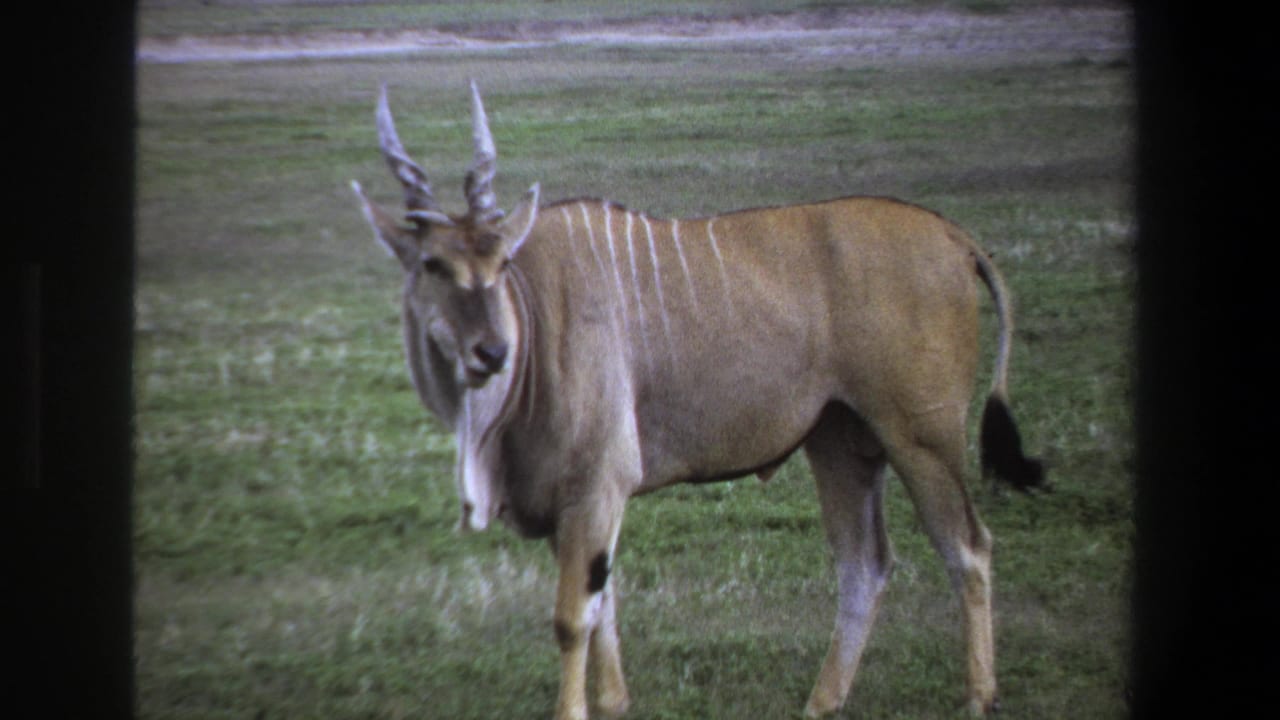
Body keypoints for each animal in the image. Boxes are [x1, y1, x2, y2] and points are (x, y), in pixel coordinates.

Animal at [350, 82, 1043, 720]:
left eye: (499, 262)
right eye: (433, 264)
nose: (490, 351)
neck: (535, 312)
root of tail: (954, 237)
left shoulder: (595, 487)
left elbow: (573, 619)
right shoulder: (574, 501)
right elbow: (603, 606)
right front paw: (615, 702)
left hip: (920, 437)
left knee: (968, 549)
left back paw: (978, 698)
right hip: (841, 440)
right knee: (864, 564)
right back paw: (821, 703)